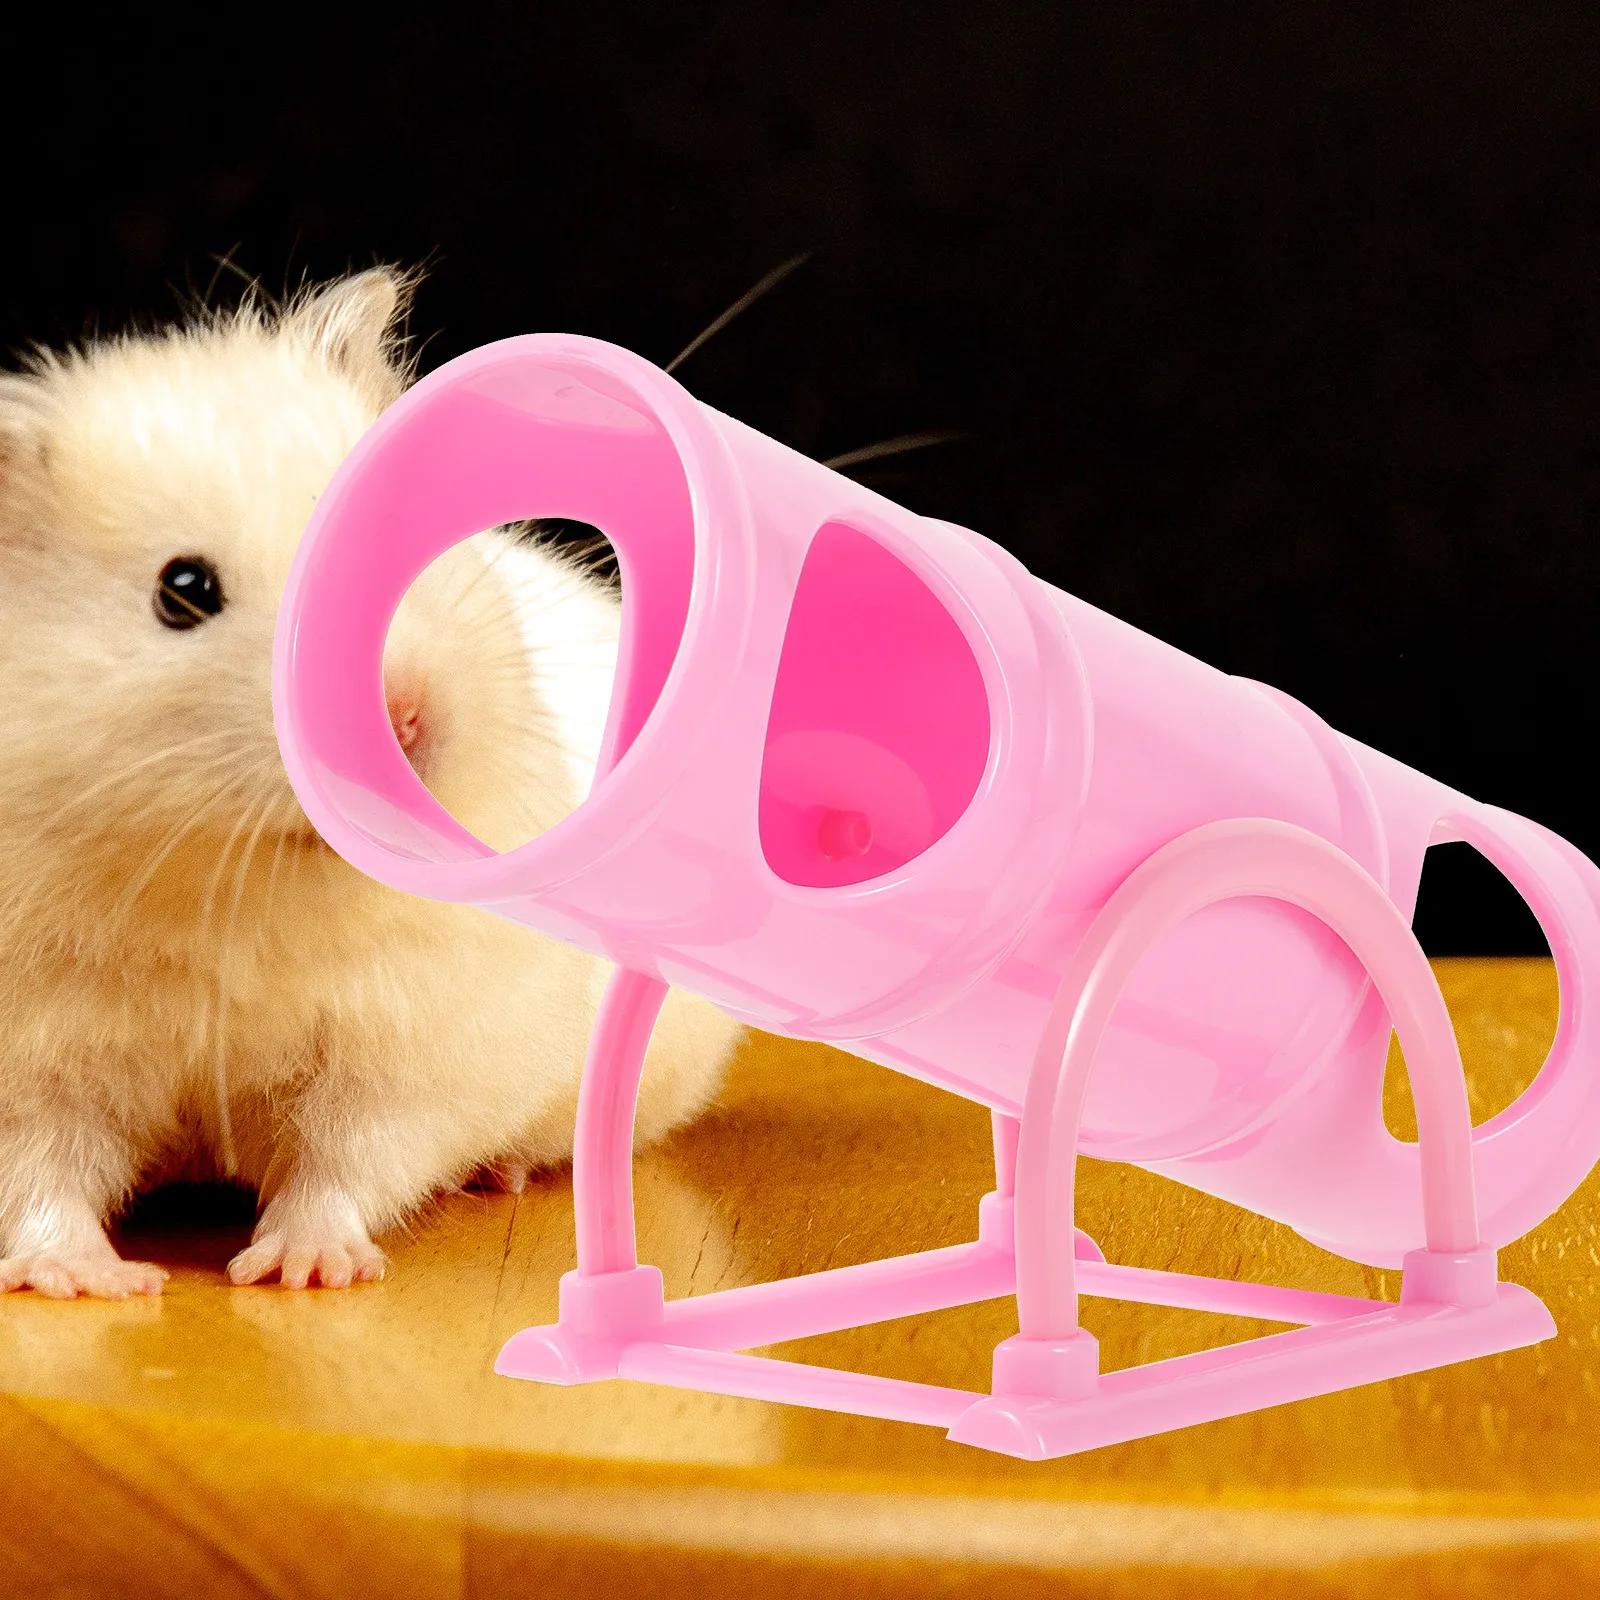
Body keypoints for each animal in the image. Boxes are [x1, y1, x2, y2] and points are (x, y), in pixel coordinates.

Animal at [0, 269, 743, 1297]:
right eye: (182, 590)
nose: (407, 718)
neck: (234, 891)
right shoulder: (35, 1059)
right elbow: (42, 1173)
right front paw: (86, 1279)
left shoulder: (415, 1043)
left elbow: (349, 1156)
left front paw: (302, 1270)